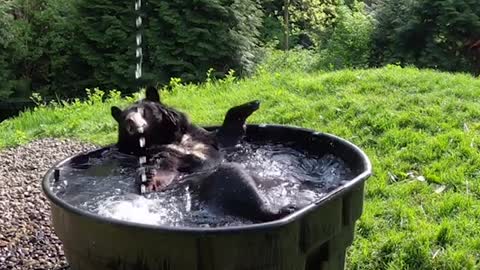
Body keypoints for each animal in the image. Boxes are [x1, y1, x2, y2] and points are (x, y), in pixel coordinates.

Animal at [111, 86, 296, 221]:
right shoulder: (147, 154)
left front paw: (251, 104)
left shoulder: (205, 138)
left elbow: (227, 135)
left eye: (142, 111)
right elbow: (162, 166)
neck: (166, 137)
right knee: (238, 181)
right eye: (124, 118)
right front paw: (148, 176)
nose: (131, 122)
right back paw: (281, 210)